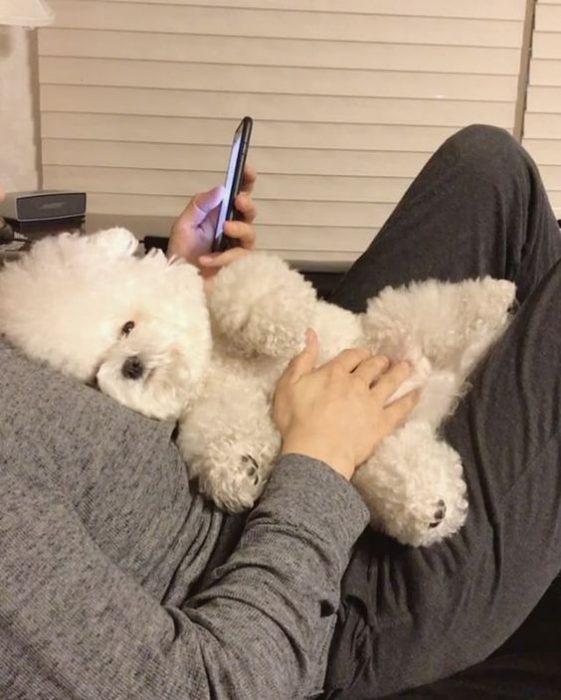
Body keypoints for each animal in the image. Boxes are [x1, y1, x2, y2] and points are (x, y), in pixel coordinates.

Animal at [0, 230, 516, 548]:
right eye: (94, 373)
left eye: (127, 326)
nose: (129, 366)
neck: (216, 366)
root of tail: (443, 386)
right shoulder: (216, 411)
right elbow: (221, 440)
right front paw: (241, 471)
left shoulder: (241, 293)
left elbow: (252, 292)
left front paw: (278, 329)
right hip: (387, 445)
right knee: (408, 472)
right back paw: (431, 510)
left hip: (395, 325)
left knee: (444, 308)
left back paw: (498, 299)